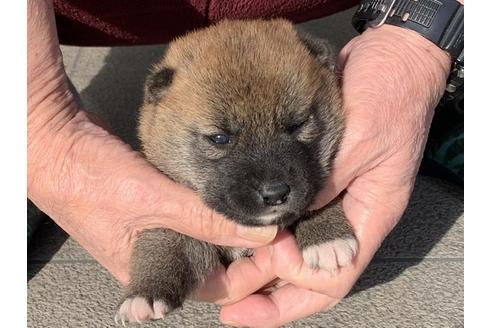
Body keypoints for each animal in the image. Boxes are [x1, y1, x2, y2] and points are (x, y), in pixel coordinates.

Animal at [117, 19, 360, 324]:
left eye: (297, 124)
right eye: (220, 138)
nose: (275, 194)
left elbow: (318, 196)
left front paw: (327, 239)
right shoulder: (169, 206)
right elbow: (164, 238)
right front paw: (144, 294)